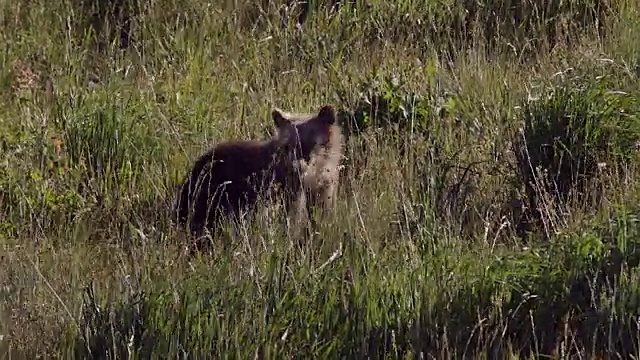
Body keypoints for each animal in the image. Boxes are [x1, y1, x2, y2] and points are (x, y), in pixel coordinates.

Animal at [172, 105, 338, 249]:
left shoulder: (322, 192)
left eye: (311, 144)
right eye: (287, 146)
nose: (296, 167)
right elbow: (290, 222)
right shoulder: (285, 193)